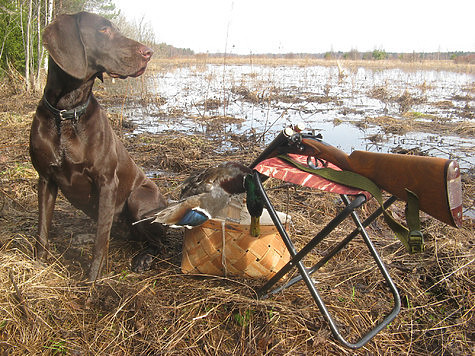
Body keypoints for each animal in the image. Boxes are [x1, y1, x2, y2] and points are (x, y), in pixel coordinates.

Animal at [29, 11, 167, 280]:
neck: (67, 113)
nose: (149, 52)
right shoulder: (46, 178)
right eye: (103, 29)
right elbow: (42, 229)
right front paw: (38, 266)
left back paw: (143, 258)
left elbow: (101, 240)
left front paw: (93, 279)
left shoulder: (106, 182)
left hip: (138, 199)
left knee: (156, 243)